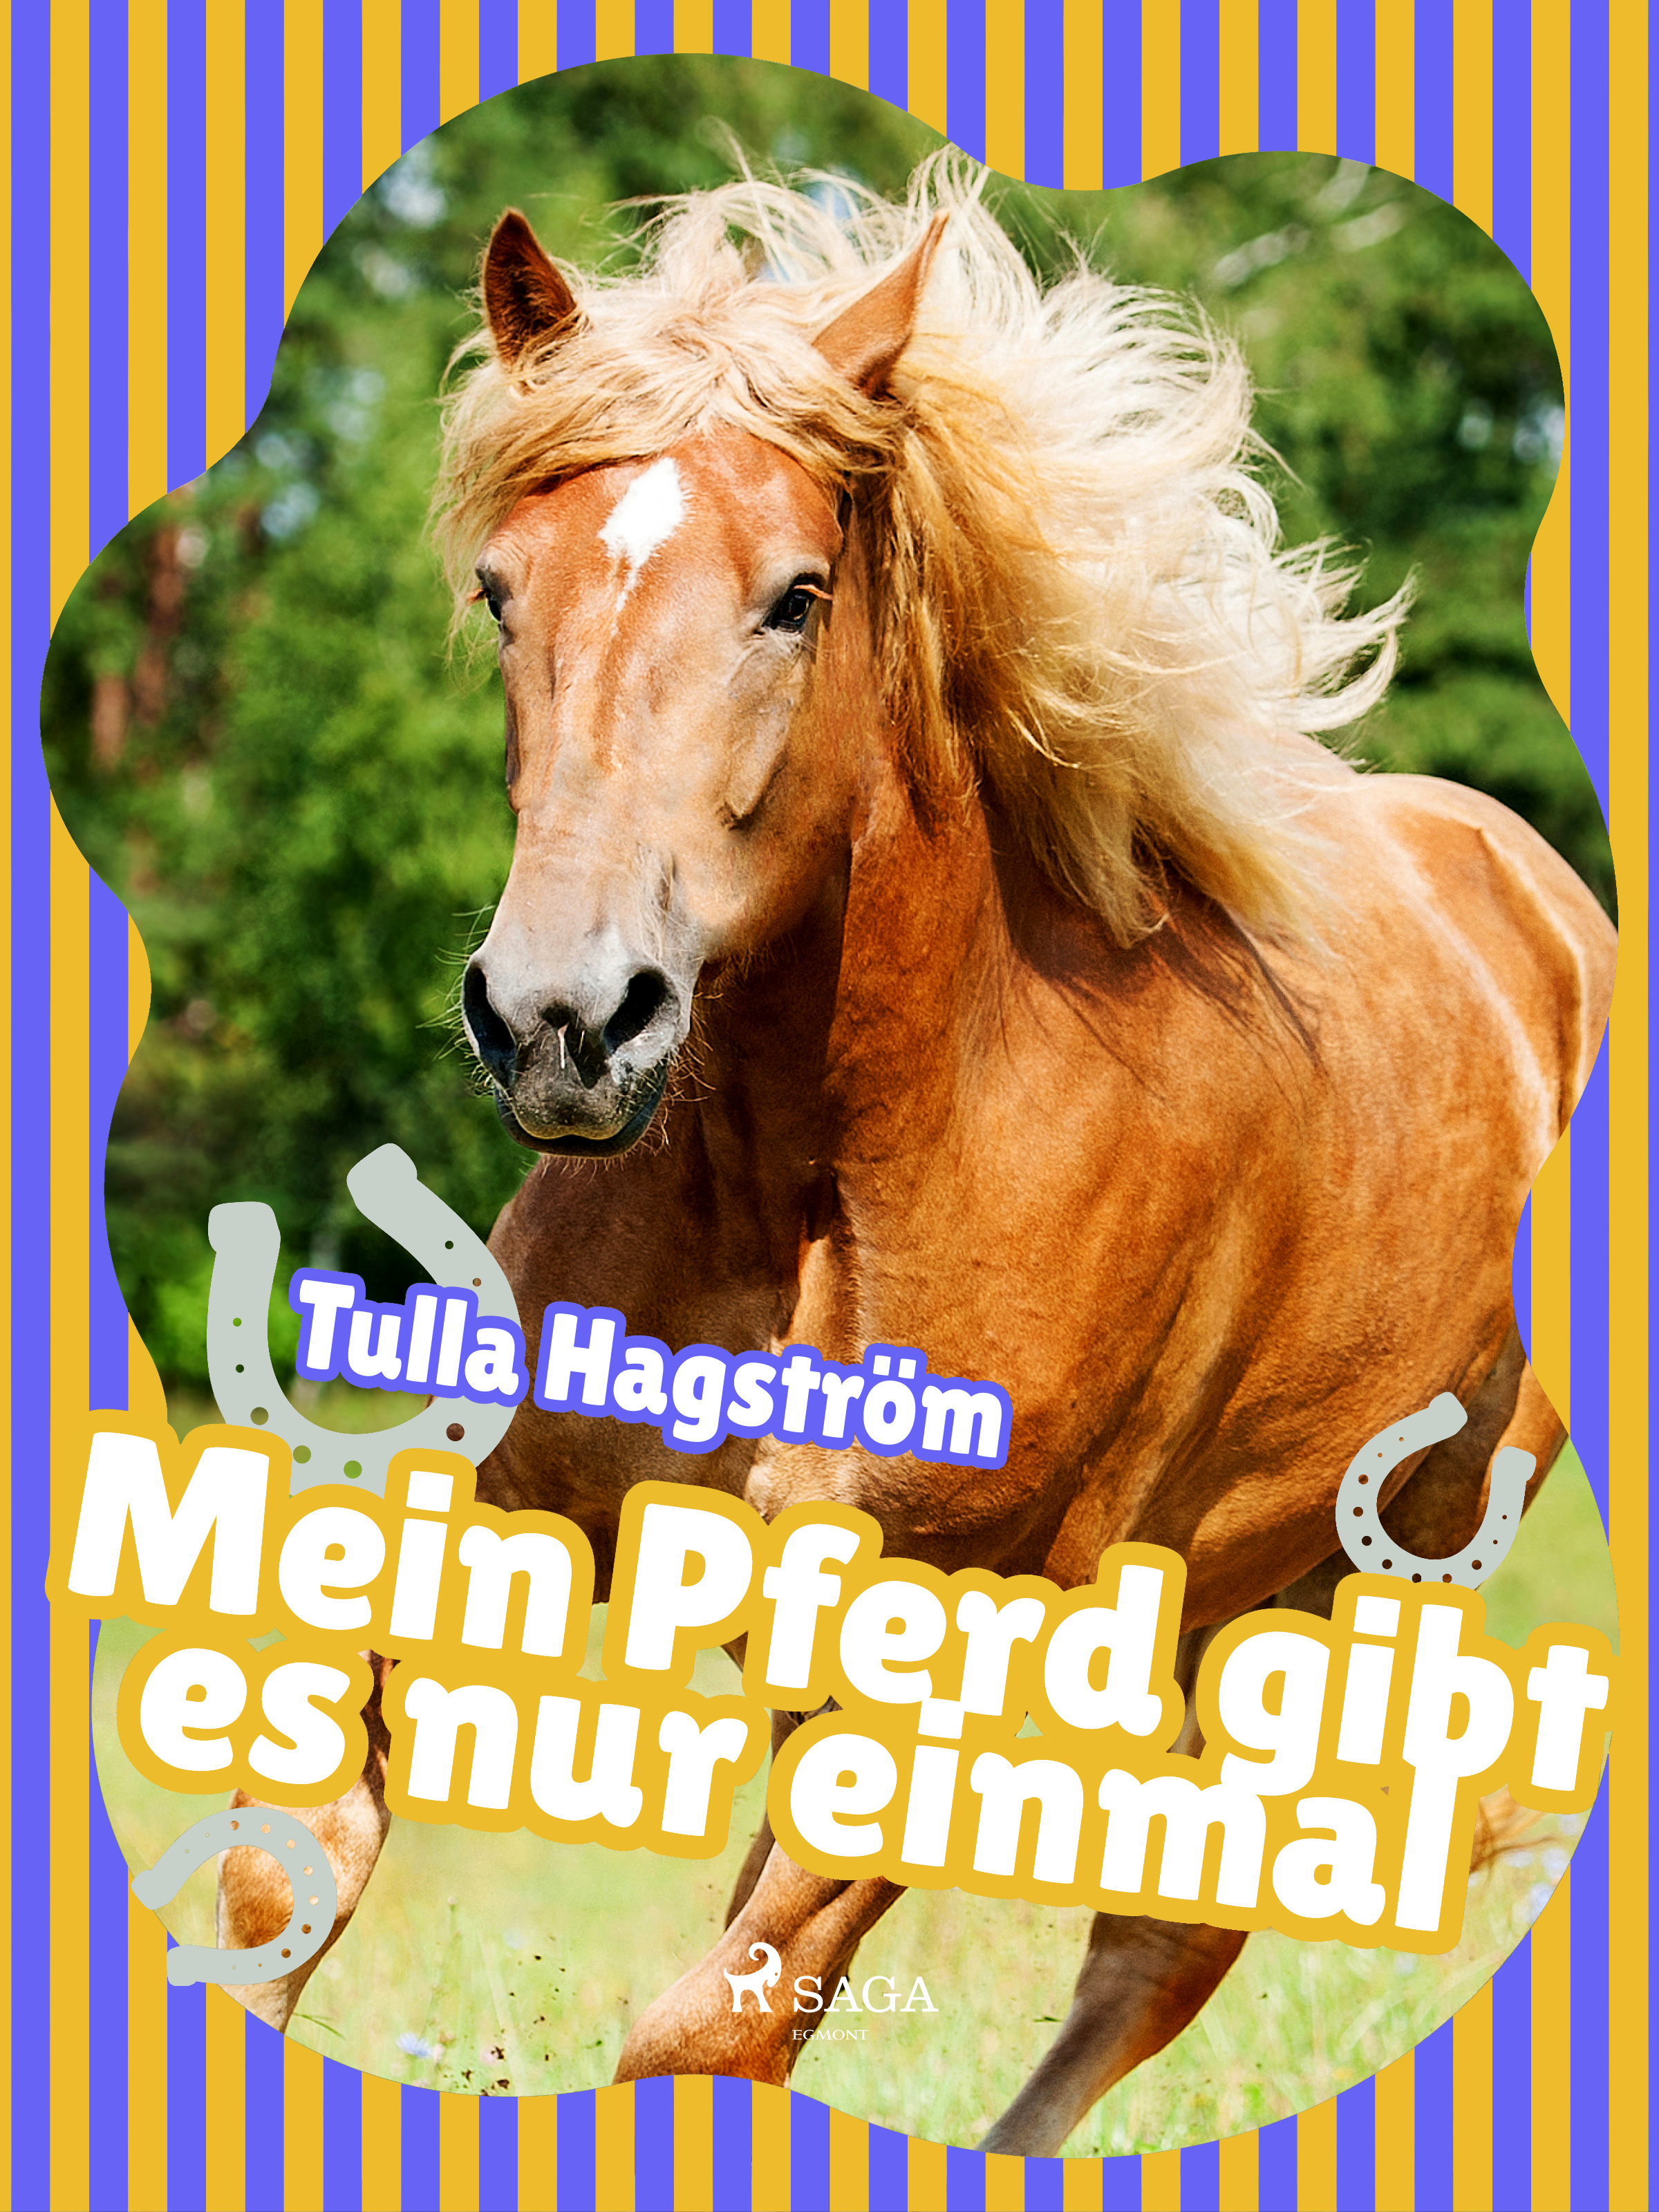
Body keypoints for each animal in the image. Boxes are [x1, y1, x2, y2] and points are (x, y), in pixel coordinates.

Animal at [216, 159, 1615, 2155]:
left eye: (795, 598)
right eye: (501, 591)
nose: (560, 1019)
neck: (824, 1187)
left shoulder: (939, 1657)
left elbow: (705, 2039)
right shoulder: (517, 1515)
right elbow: (292, 1866)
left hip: (1341, 1595)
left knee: (1169, 1941)